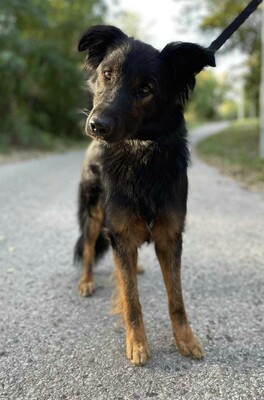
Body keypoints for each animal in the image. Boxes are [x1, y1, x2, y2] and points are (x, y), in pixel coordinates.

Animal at [73, 25, 214, 366]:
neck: (141, 154)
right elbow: (131, 299)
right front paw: (137, 343)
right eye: (107, 74)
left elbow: (176, 297)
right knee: (88, 248)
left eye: (146, 88)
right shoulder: (121, 232)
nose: (96, 125)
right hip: (94, 213)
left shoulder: (170, 235)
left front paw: (185, 339)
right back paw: (86, 281)